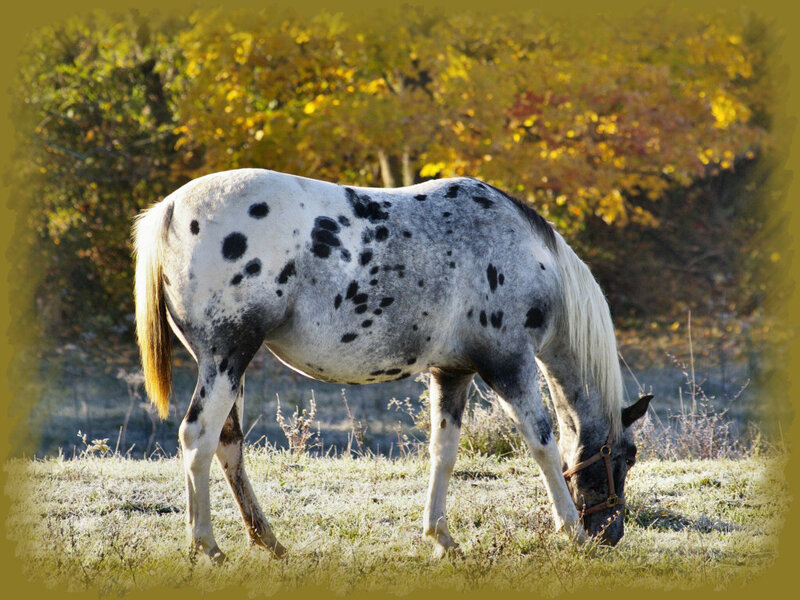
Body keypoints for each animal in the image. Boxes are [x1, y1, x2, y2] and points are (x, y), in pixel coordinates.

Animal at [133, 168, 652, 562]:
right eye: (627, 456)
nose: (611, 534)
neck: (523, 252)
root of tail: (172, 208)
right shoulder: (509, 365)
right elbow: (542, 445)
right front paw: (572, 531)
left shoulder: (452, 373)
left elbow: (444, 452)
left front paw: (442, 538)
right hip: (227, 357)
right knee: (197, 440)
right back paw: (207, 546)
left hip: (228, 365)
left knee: (228, 446)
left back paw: (268, 541)